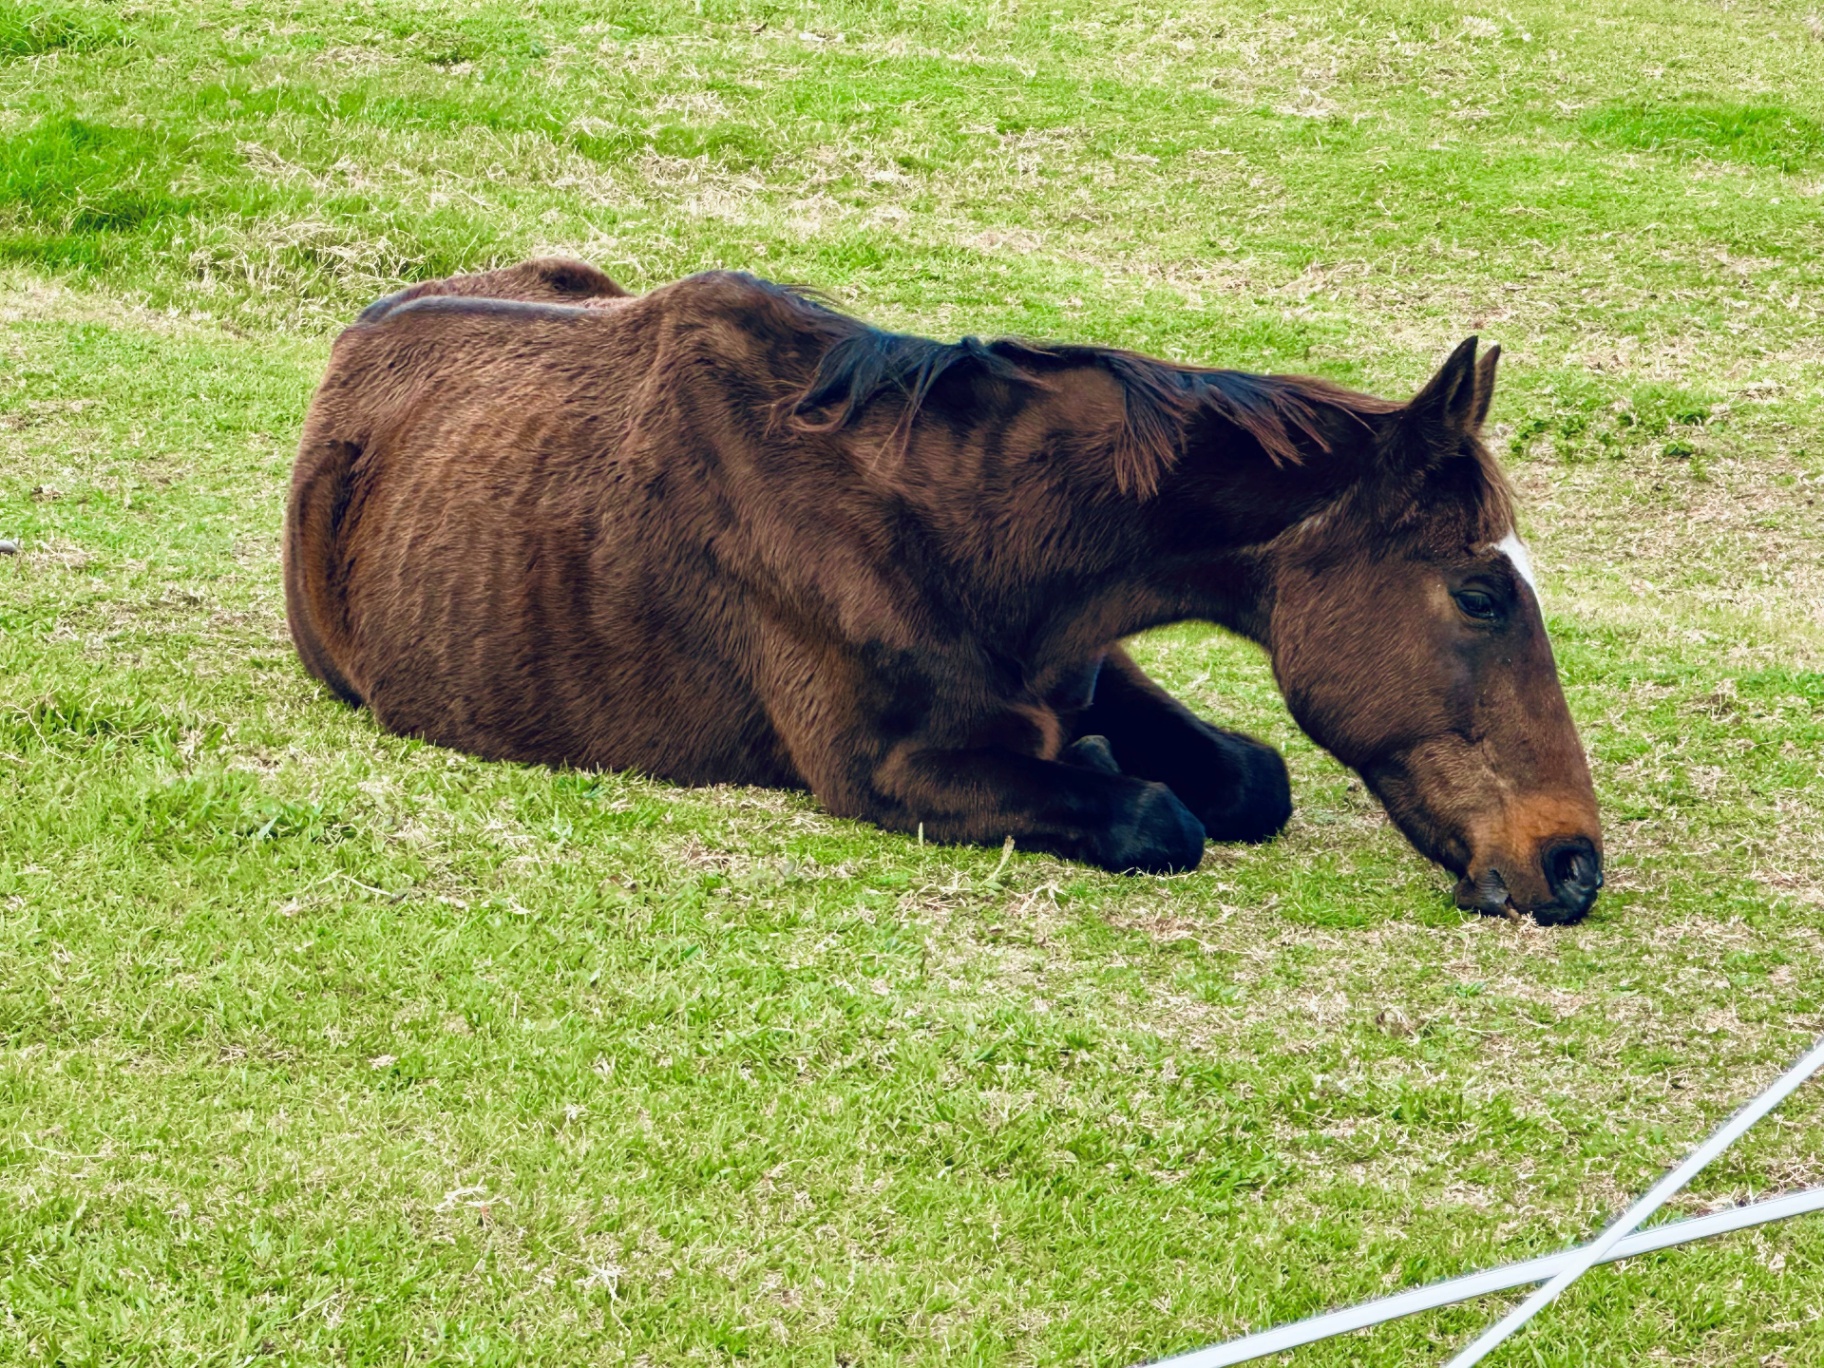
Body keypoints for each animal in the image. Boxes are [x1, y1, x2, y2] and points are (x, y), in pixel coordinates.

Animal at [284, 258, 1603, 924]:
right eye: (1480, 594)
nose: (1573, 864)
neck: (958, 524)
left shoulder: (1088, 669)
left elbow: (1247, 777)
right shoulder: (887, 773)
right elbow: (1156, 816)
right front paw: (1114, 781)